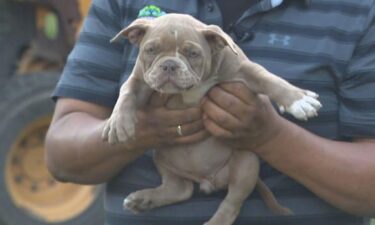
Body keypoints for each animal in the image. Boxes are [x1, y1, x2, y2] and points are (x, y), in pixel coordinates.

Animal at [103, 13, 324, 225]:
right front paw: (117, 123)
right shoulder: (140, 78)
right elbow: (127, 91)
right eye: (150, 50)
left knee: (231, 203)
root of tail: (207, 180)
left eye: (193, 54)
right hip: (161, 157)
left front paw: (297, 99)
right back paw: (143, 199)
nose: (169, 65)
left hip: (246, 163)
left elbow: (267, 78)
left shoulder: (243, 68)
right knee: (181, 189)